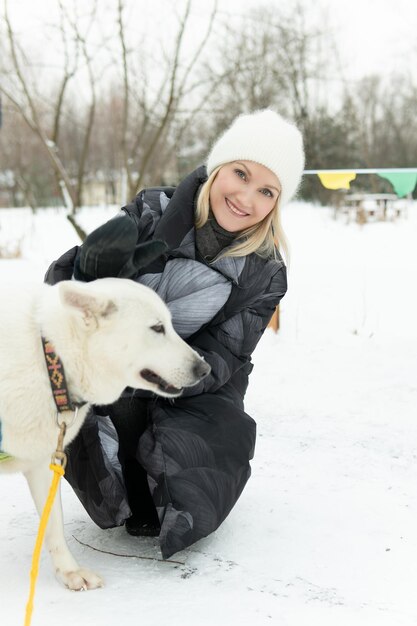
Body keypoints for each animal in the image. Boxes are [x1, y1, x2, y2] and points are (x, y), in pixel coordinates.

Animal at [0, 278, 208, 588]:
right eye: (157, 328)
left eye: (170, 325)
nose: (205, 368)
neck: (51, 361)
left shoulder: (43, 463)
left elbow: (54, 525)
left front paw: (69, 571)